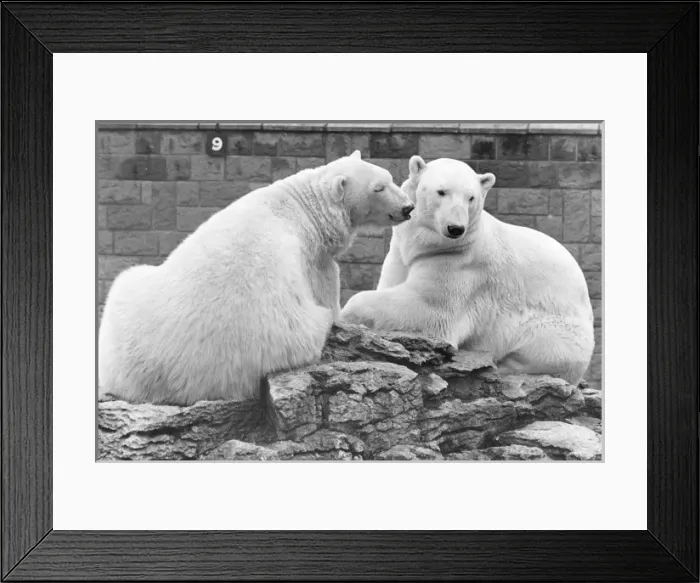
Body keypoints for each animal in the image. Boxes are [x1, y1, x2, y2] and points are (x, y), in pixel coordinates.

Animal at [98, 151, 415, 406]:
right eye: (379, 187)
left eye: (390, 178)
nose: (408, 208)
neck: (301, 206)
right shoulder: (311, 255)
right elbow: (327, 285)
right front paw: (345, 318)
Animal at [341, 155, 595, 386]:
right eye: (441, 191)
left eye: (471, 197)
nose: (455, 228)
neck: (429, 246)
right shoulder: (400, 254)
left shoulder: (461, 264)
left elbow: (429, 308)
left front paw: (346, 313)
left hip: (556, 330)